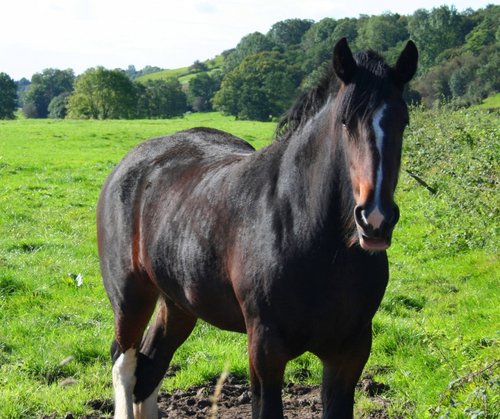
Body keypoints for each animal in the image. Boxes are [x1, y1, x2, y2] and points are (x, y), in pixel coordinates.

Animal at [97, 37, 418, 418]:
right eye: (345, 121)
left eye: (403, 121)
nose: (375, 219)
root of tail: (128, 164)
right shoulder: (265, 351)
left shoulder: (349, 353)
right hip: (131, 296)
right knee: (124, 362)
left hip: (177, 303)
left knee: (151, 366)